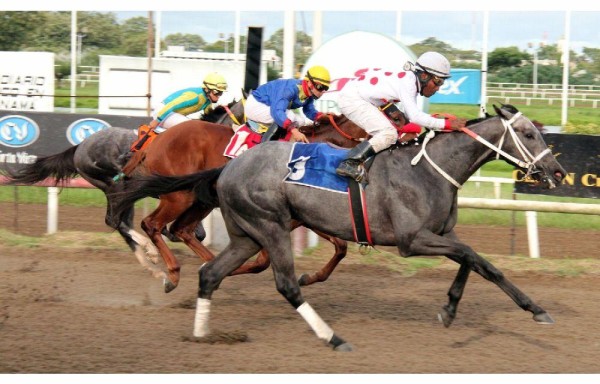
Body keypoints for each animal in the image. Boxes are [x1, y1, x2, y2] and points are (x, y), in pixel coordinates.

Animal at [112, 115, 368, 292]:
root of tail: (154, 142)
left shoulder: (303, 216)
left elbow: (340, 247)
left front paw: (309, 277)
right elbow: (262, 261)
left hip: (200, 200)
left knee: (181, 229)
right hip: (179, 196)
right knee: (152, 224)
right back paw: (172, 274)